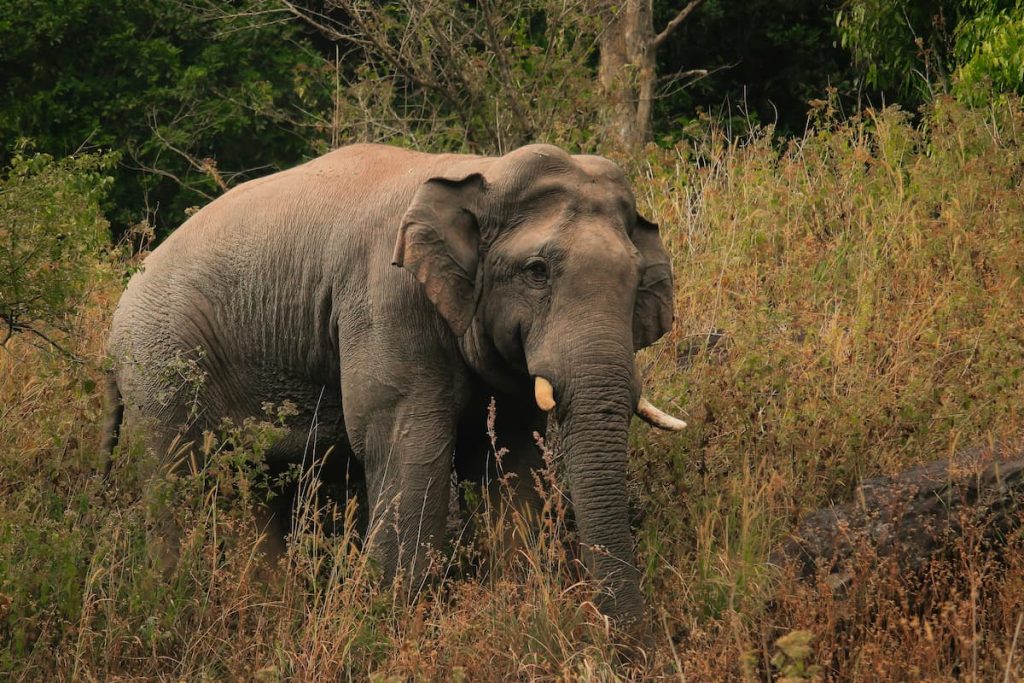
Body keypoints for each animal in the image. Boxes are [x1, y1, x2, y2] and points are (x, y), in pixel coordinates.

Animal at [104, 142, 686, 622]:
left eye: (637, 278)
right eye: (536, 271)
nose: (628, 646)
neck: (481, 172)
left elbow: (510, 458)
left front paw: (517, 608)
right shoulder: (388, 300)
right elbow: (410, 447)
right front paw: (389, 623)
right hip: (160, 360)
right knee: (179, 479)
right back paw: (176, 606)